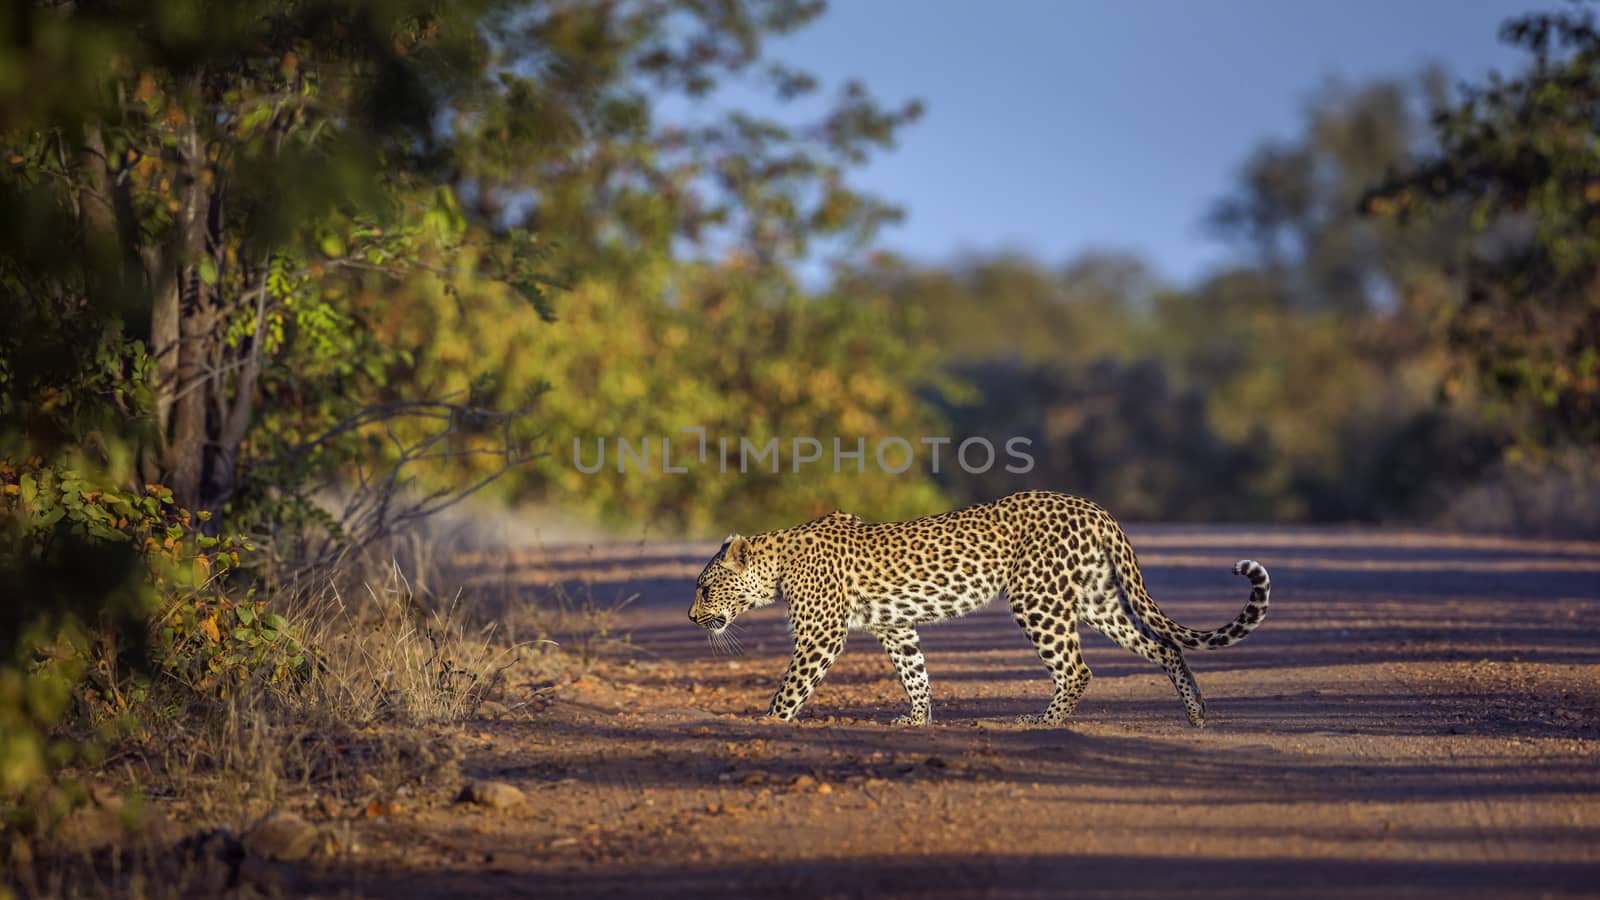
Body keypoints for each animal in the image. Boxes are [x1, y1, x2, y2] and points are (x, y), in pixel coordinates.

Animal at [688, 486, 1273, 723]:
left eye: (704, 588)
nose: (692, 618)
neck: (775, 565)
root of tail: (1093, 507)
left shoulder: (821, 634)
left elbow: (792, 686)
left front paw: (769, 721)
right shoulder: (896, 628)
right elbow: (915, 673)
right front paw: (917, 720)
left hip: (1037, 598)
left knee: (1078, 668)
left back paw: (1042, 721)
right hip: (1097, 599)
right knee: (1164, 645)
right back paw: (1197, 714)